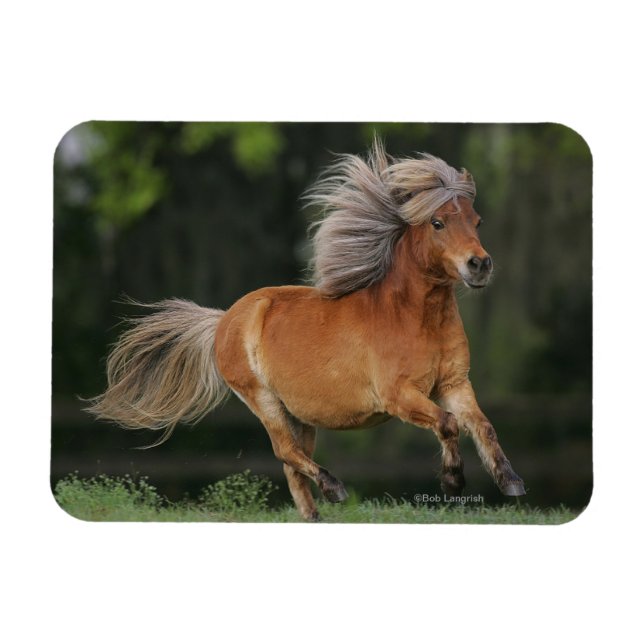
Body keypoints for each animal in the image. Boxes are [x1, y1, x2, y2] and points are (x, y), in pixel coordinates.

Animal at [88, 138, 526, 521]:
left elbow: (483, 426)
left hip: (299, 413)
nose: (479, 265)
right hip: (262, 399)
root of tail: (224, 319)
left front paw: (511, 483)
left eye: (477, 220)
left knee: (292, 466)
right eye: (437, 222)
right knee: (285, 452)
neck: (415, 318)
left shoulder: (453, 383)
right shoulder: (399, 396)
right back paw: (335, 488)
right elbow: (448, 424)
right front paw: (453, 481)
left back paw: (315, 515)